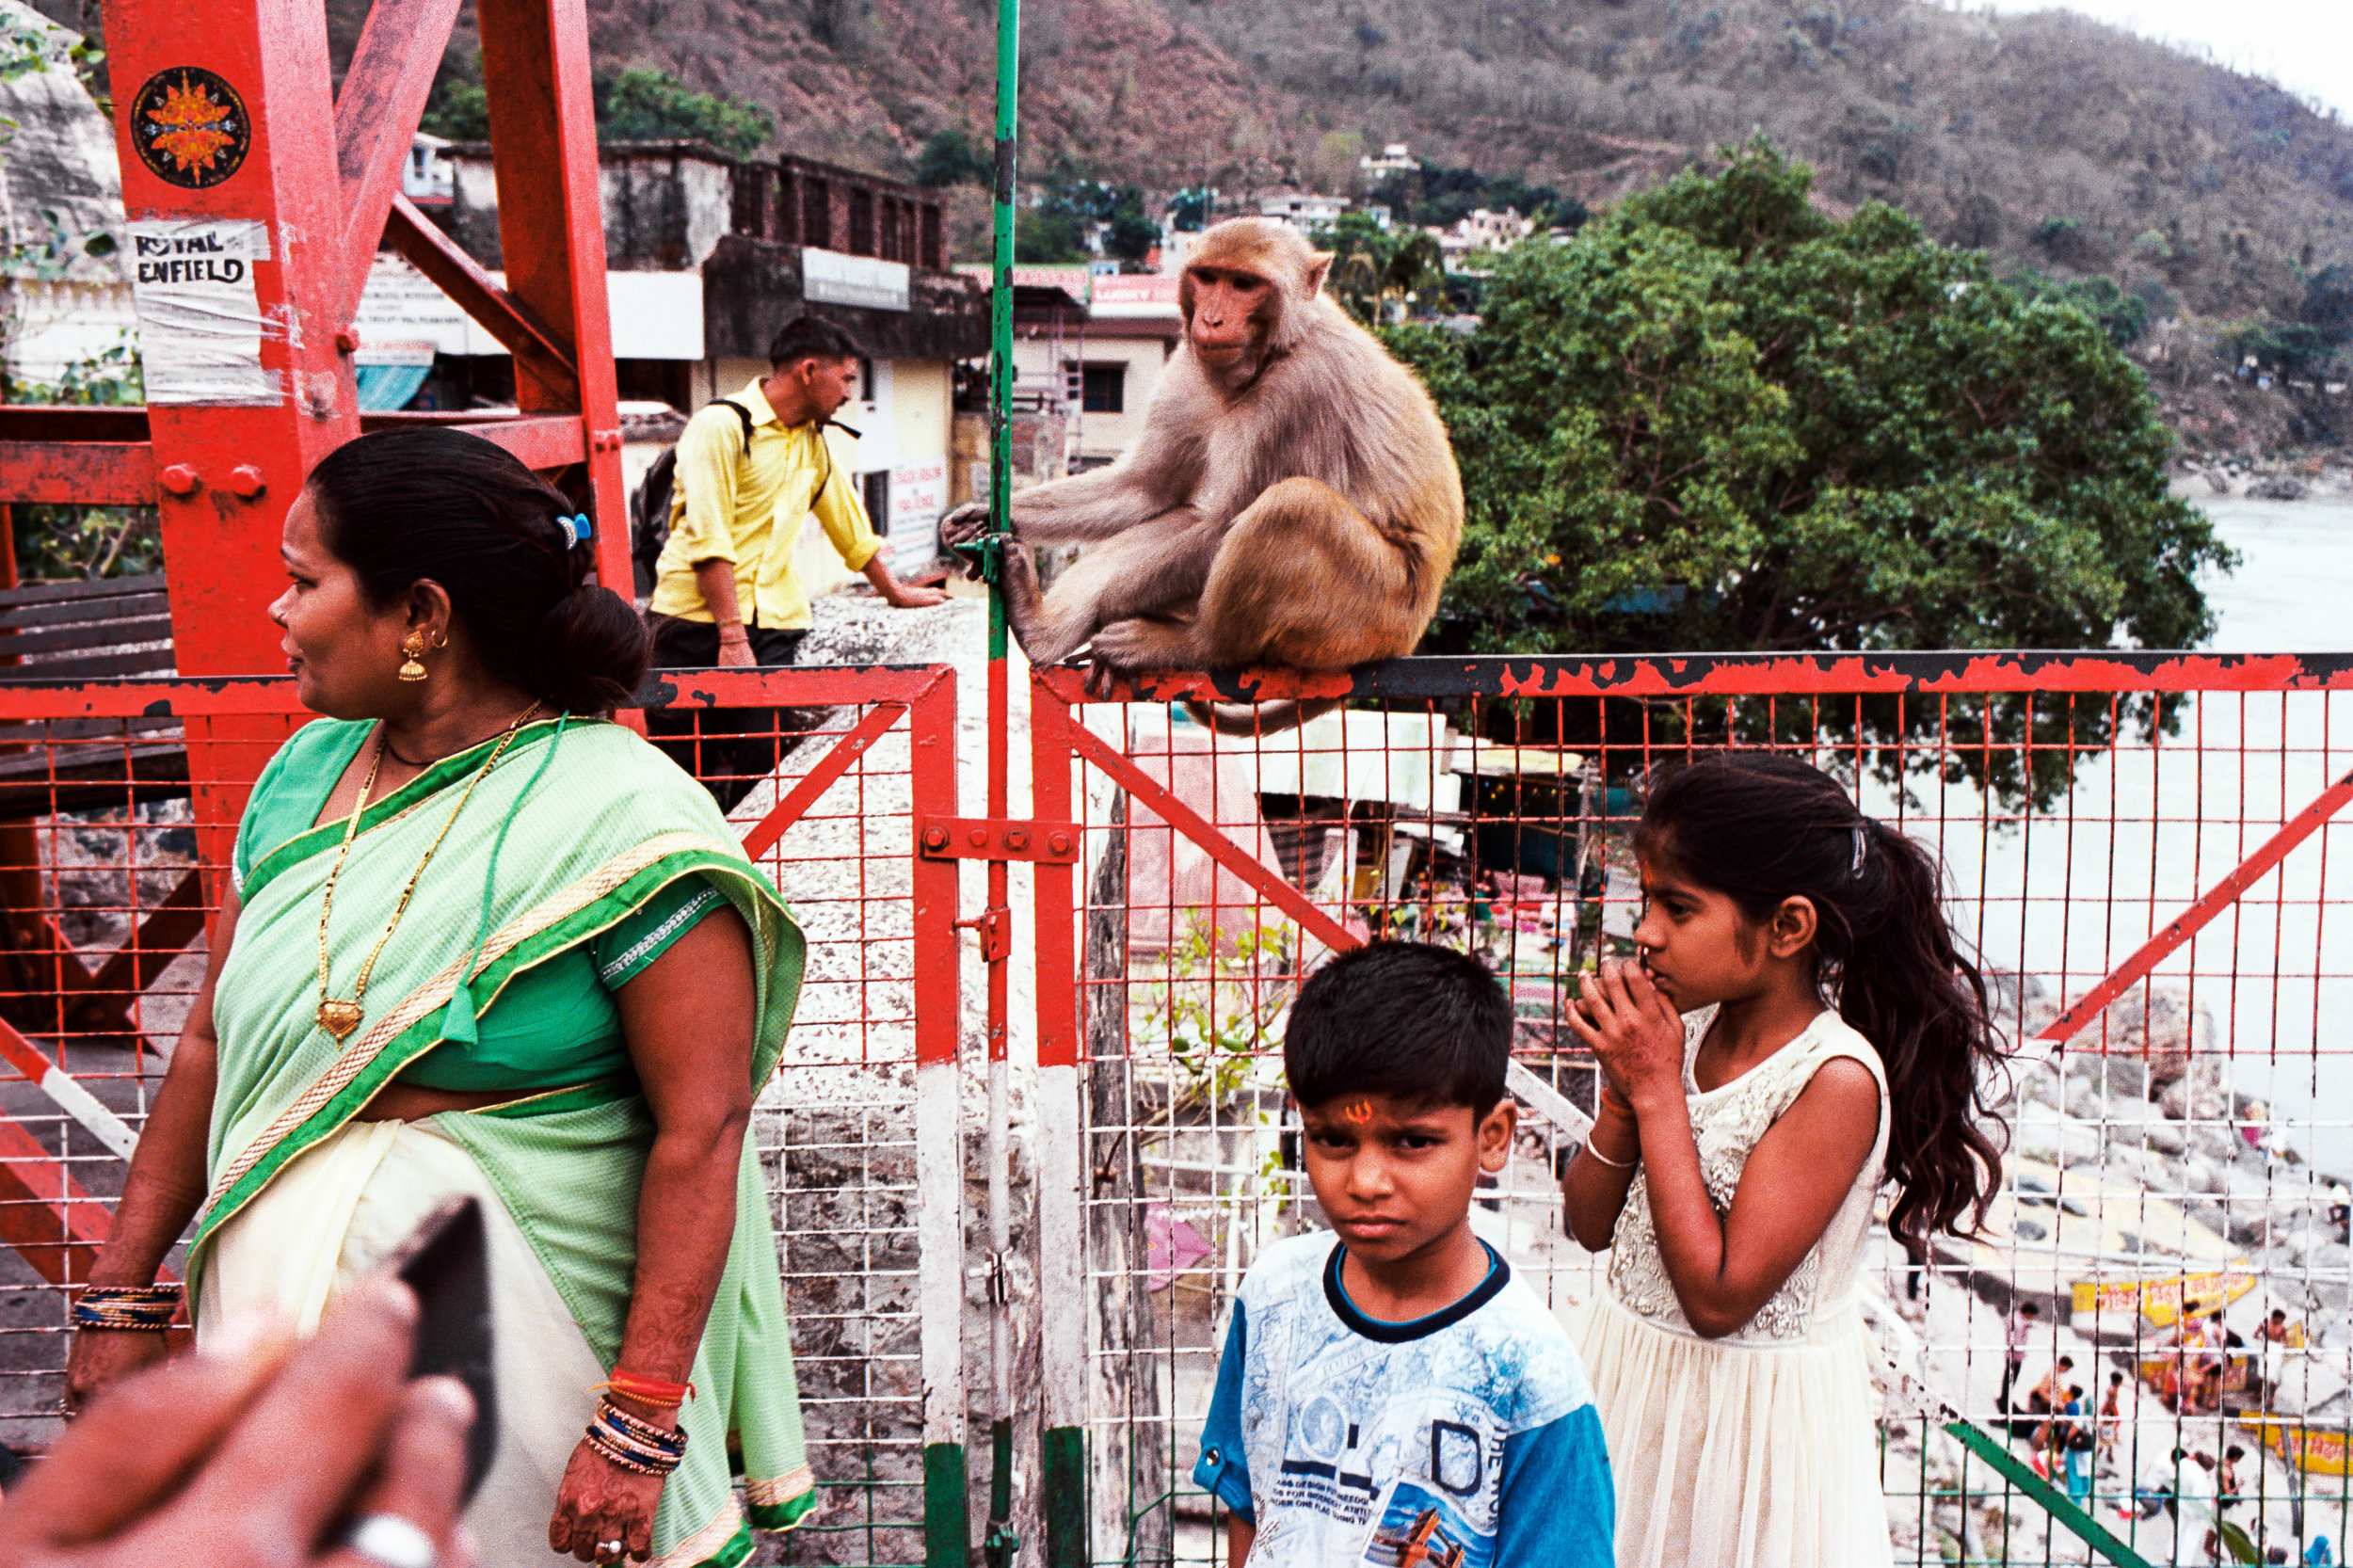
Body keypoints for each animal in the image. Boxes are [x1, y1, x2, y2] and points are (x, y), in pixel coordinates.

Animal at [941, 215, 1459, 734]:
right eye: (1209, 278)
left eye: (1245, 285)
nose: (1211, 320)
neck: (1273, 351)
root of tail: (1408, 635)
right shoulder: (1188, 364)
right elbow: (1145, 488)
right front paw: (982, 517)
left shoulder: (1299, 393)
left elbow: (1220, 524)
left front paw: (1109, 616)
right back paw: (1041, 628)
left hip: (1373, 611)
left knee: (1291, 507)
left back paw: (1191, 644)